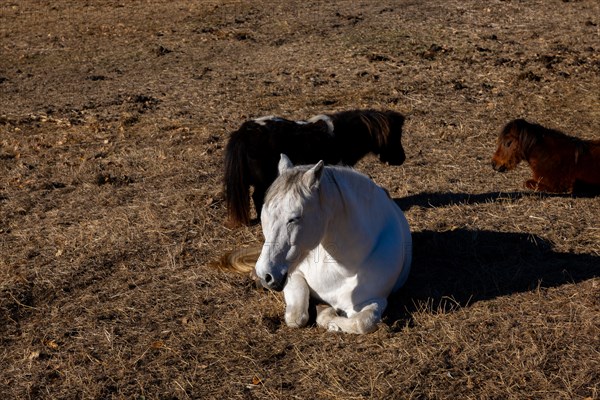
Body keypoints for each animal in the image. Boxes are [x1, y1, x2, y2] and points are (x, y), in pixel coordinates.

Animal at [225, 109, 408, 227]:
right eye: (395, 135)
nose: (401, 159)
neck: (344, 135)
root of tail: (243, 133)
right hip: (263, 181)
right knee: (257, 197)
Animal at [253, 154, 412, 334]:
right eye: (264, 213)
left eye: (294, 218)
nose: (265, 274)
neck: (345, 267)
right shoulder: (294, 273)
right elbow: (296, 317)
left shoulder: (375, 300)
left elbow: (362, 322)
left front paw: (327, 316)